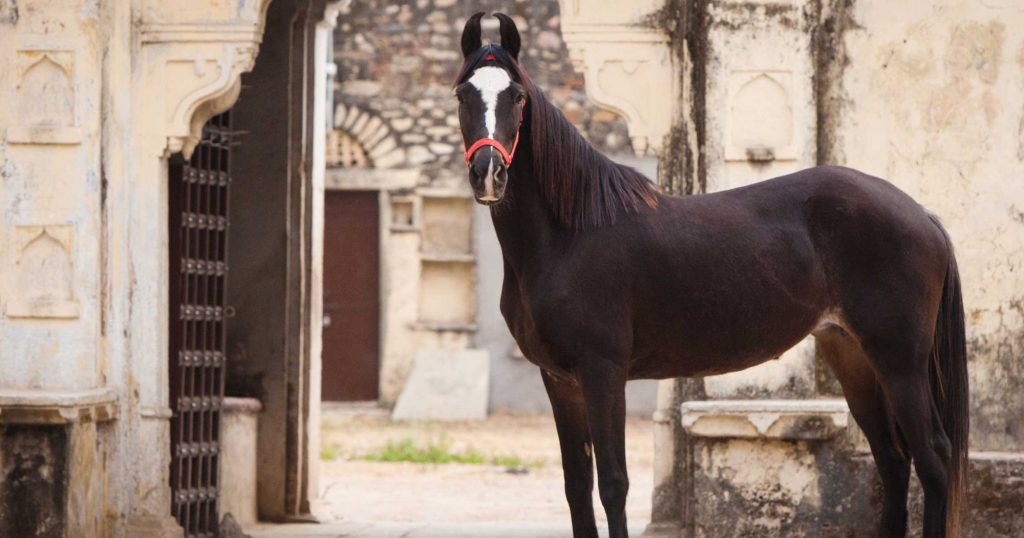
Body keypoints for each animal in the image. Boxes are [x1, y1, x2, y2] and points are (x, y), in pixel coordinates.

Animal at [456, 12, 966, 536]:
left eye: (517, 96)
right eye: (462, 95)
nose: (489, 174)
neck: (568, 235)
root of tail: (922, 214)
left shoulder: (603, 371)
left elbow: (613, 485)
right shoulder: (559, 379)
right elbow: (577, 485)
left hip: (900, 361)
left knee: (932, 458)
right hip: (852, 355)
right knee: (893, 460)